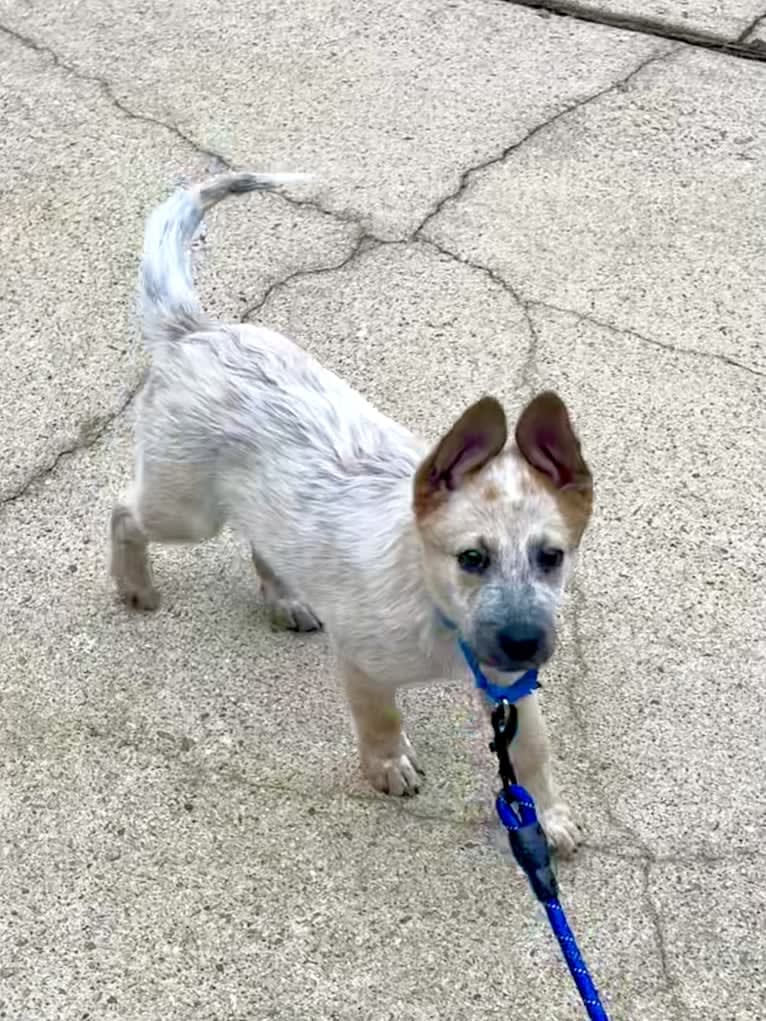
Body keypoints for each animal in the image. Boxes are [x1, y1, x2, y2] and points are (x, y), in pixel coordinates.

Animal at [112, 173, 592, 853]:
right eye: (471, 558)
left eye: (552, 557)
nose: (524, 642)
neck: (436, 609)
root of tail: (194, 333)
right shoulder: (363, 663)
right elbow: (381, 716)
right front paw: (387, 765)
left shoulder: (509, 689)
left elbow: (532, 754)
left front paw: (546, 816)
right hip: (184, 508)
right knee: (123, 510)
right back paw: (133, 585)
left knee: (264, 541)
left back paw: (285, 597)